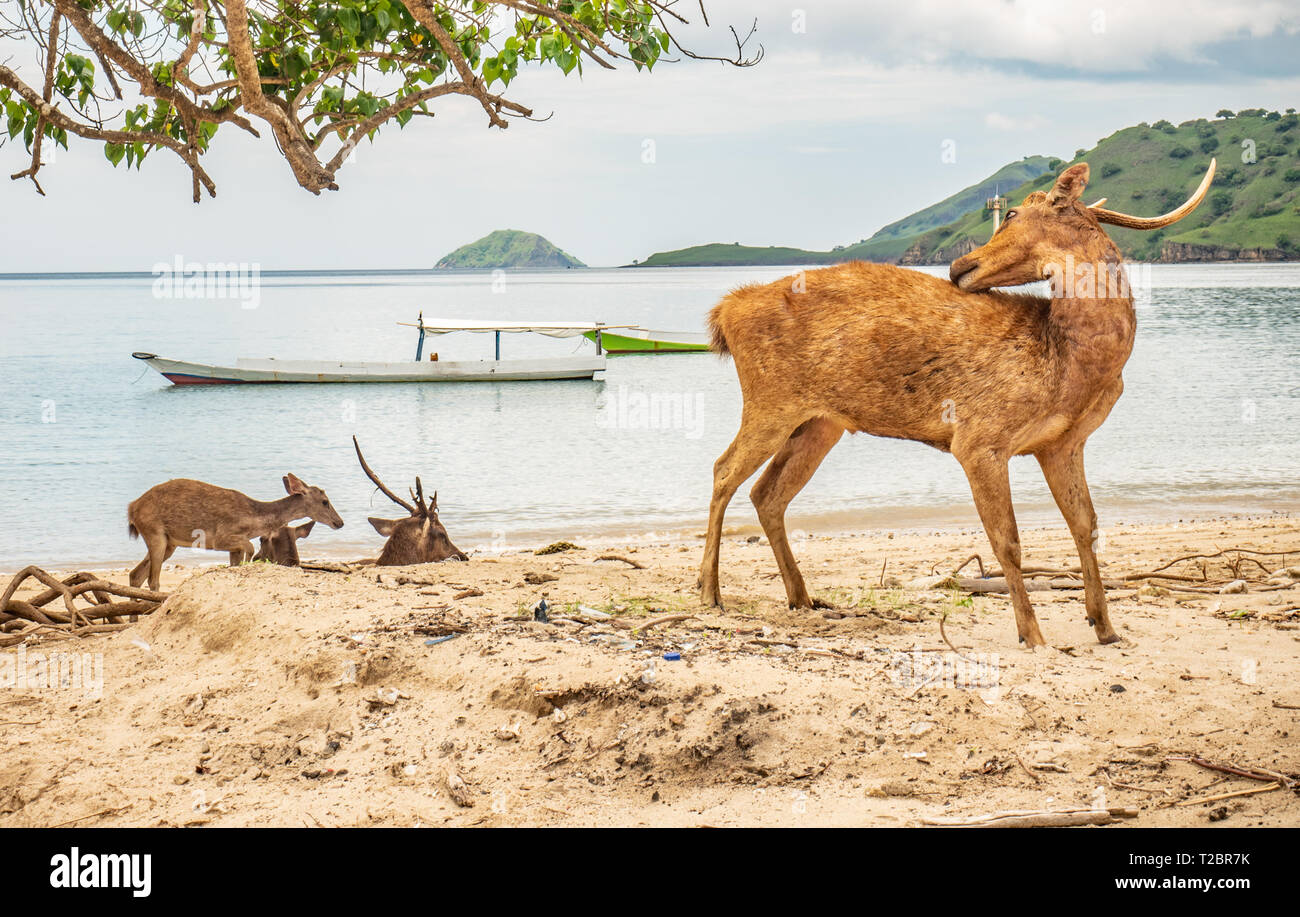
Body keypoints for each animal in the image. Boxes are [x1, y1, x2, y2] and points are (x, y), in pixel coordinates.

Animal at [126, 473, 345, 587]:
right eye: (325, 501)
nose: (340, 522)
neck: (253, 519)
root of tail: (132, 508)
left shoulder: (232, 547)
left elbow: (236, 561)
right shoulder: (219, 537)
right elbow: (249, 547)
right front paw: (250, 561)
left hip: (169, 543)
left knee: (136, 575)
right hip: (154, 533)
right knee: (153, 579)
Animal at [702, 159, 1216, 645]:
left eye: (1012, 213)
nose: (957, 267)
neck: (1067, 363)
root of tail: (724, 312)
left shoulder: (1063, 443)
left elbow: (1085, 525)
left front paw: (1104, 625)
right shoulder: (978, 439)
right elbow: (1007, 540)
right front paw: (1031, 633)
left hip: (821, 422)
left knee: (767, 492)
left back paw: (801, 596)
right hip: (770, 399)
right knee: (723, 470)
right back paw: (710, 592)